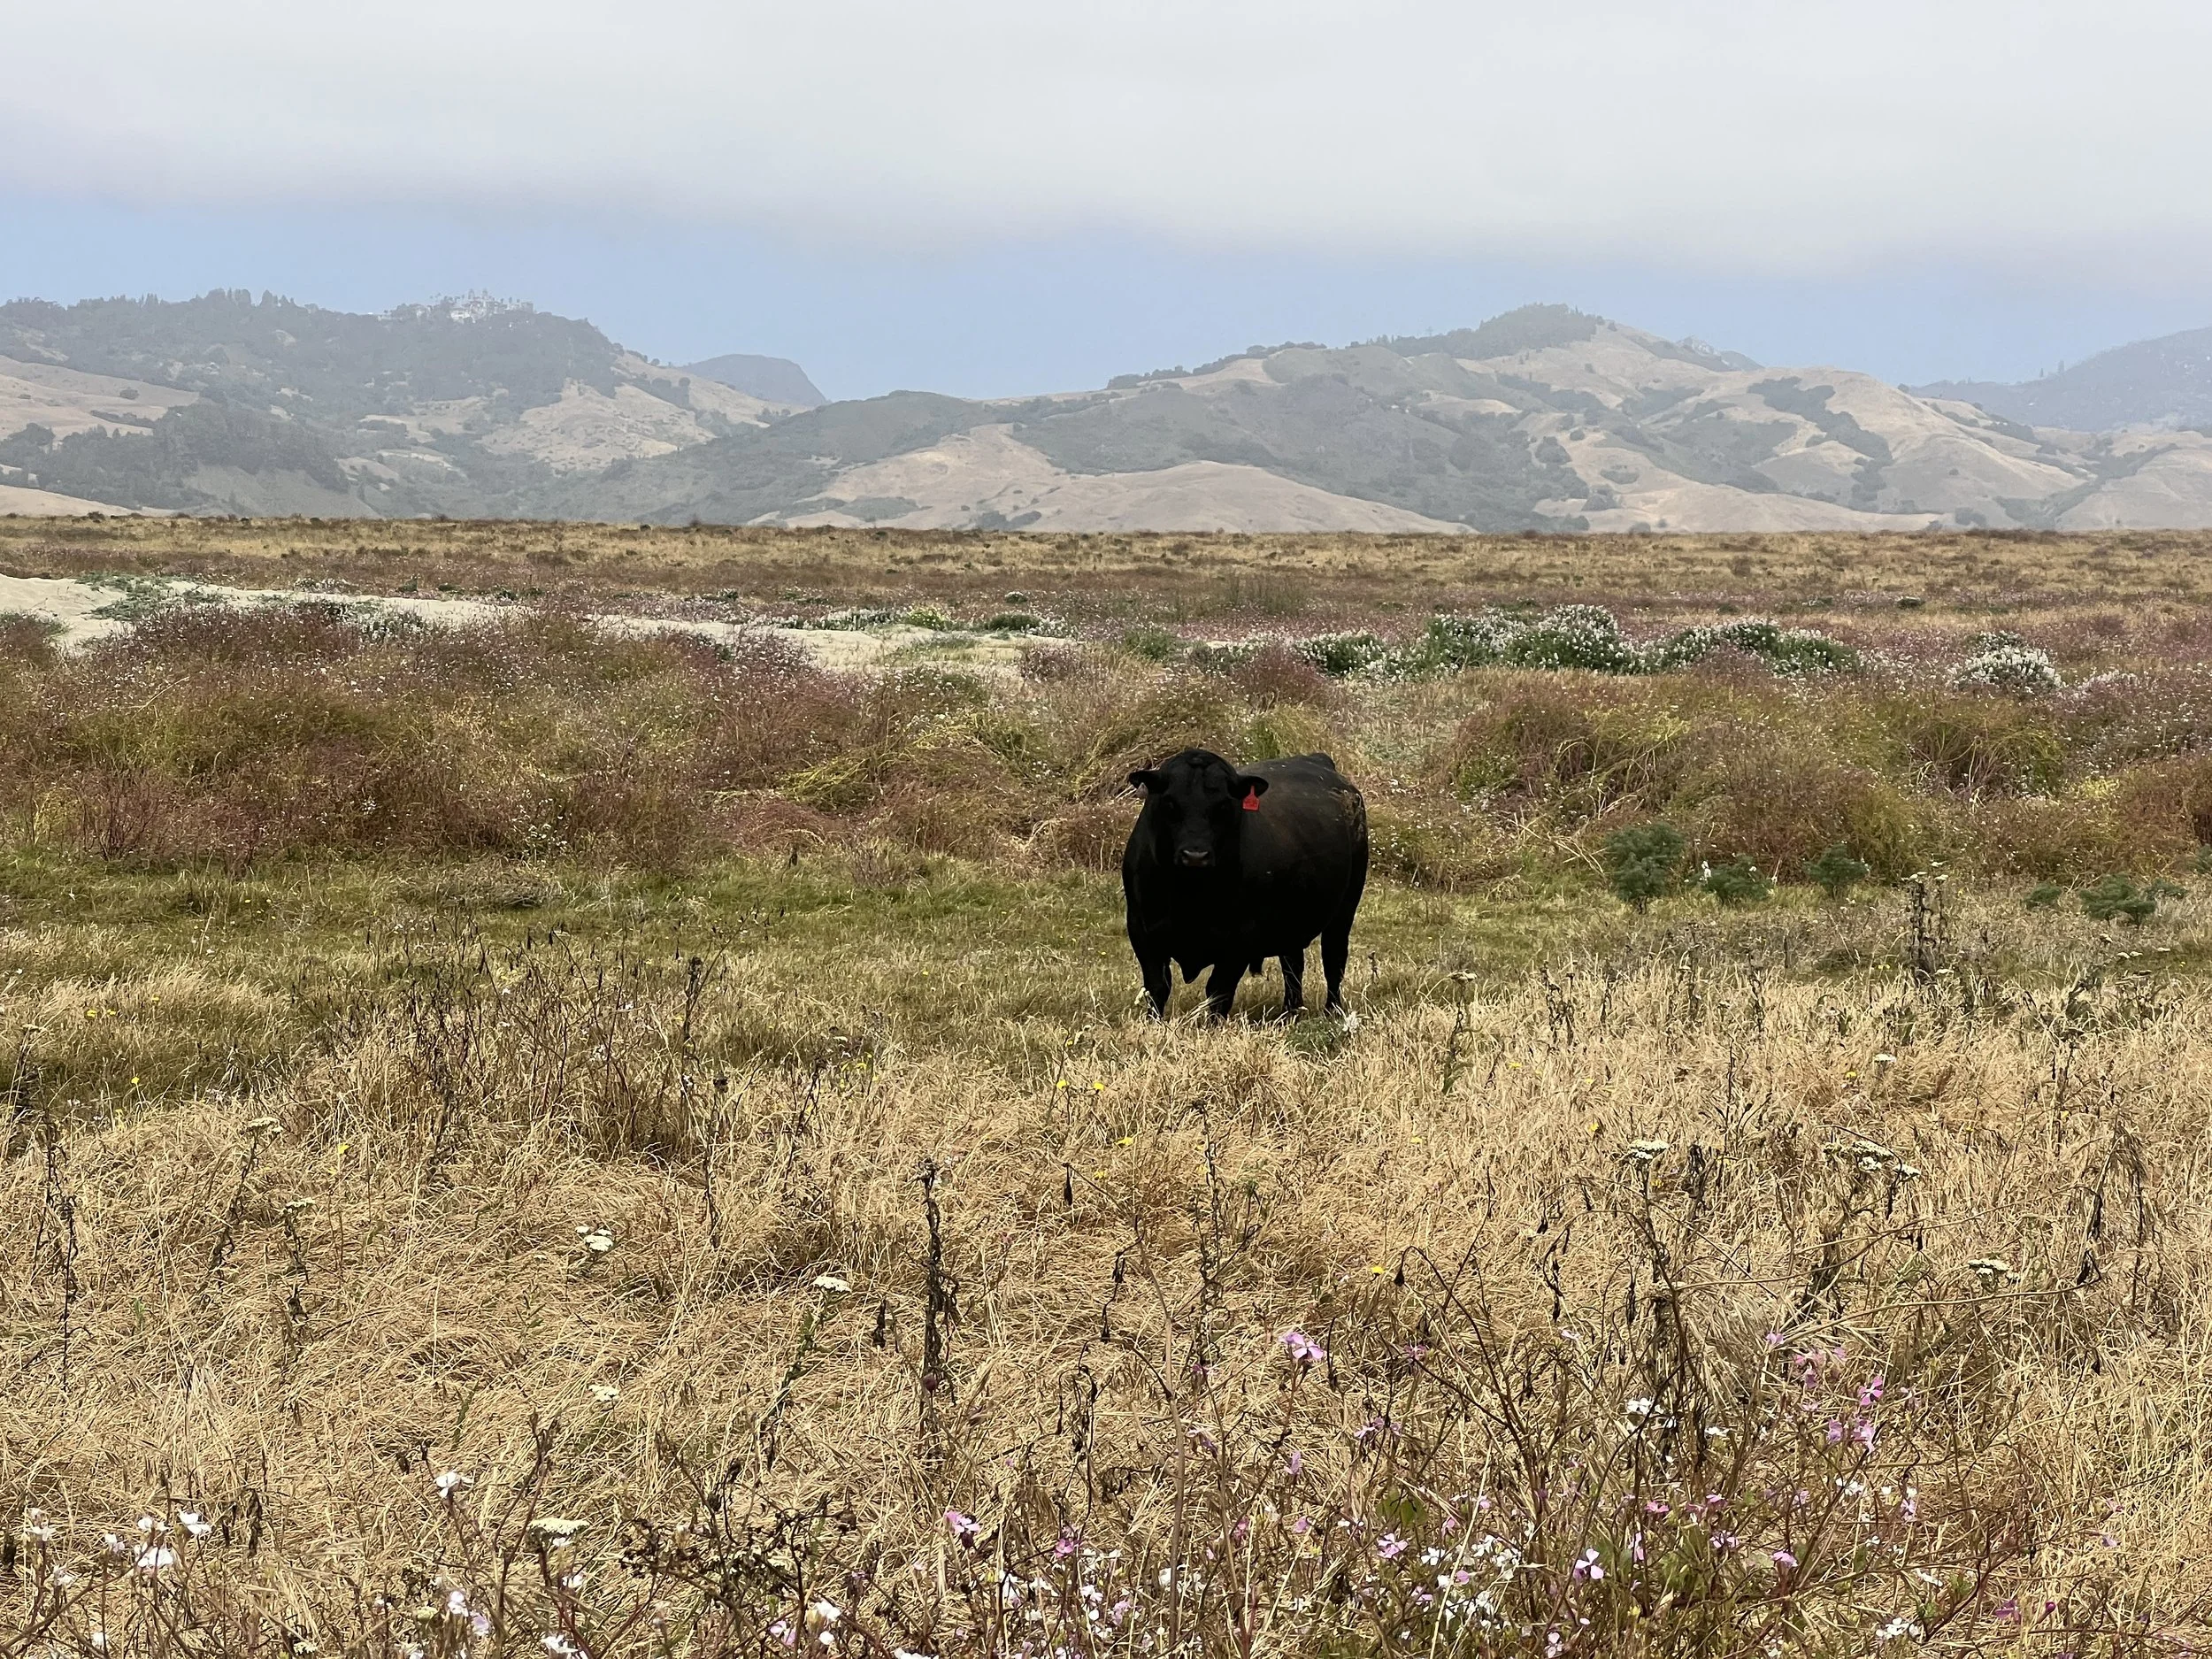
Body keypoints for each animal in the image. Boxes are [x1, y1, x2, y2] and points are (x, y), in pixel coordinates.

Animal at [1122, 748, 1368, 1020]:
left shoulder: (1240, 938)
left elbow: (1219, 990)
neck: (1189, 895)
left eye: (1223, 806)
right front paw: (1153, 1022)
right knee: (1293, 964)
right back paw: (1290, 1011)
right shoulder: (1141, 929)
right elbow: (1157, 986)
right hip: (1292, 920)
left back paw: (1332, 1011)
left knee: (1333, 961)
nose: (1195, 856)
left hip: (1344, 910)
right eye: (1170, 804)